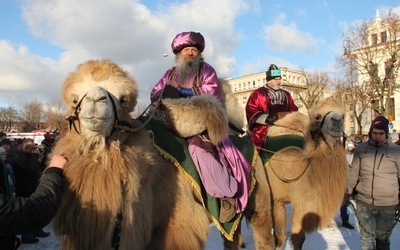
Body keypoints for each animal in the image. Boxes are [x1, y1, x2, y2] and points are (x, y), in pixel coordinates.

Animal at [49, 59, 276, 250]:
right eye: (74, 99)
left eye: (122, 99)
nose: (96, 99)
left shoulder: (178, 225)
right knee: (232, 236)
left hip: (259, 198)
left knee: (264, 231)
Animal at [262, 98, 346, 250]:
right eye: (317, 116)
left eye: (343, 115)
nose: (336, 121)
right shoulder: (276, 200)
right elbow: (279, 237)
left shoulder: (304, 202)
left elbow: (298, 237)